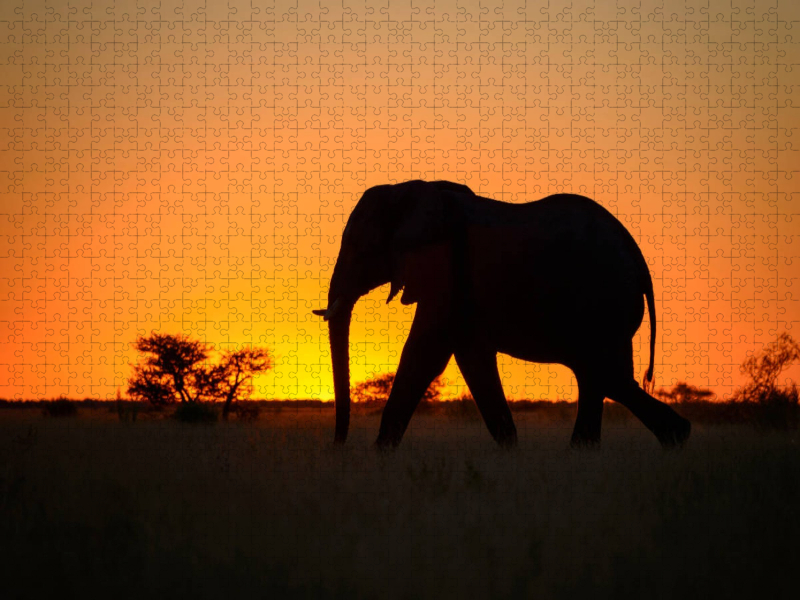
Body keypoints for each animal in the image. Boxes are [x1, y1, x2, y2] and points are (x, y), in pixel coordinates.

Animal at [314, 180, 691, 449]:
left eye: (361, 249)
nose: (338, 445)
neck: (412, 191)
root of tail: (638, 257)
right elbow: (470, 358)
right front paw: (511, 450)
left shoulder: (447, 268)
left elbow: (424, 354)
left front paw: (379, 454)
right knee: (600, 376)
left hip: (604, 301)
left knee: (605, 374)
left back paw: (674, 437)